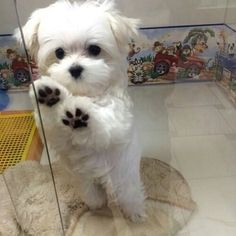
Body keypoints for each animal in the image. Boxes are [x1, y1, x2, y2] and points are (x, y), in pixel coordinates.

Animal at [14, 0, 146, 222]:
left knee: (128, 194)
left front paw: (81, 114)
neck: (82, 93)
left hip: (123, 177)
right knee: (94, 196)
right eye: (59, 53)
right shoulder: (53, 133)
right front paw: (49, 95)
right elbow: (53, 126)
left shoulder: (116, 120)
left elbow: (102, 123)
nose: (75, 69)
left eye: (94, 49)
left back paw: (135, 212)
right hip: (84, 182)